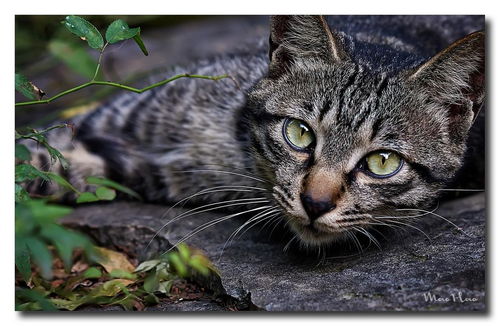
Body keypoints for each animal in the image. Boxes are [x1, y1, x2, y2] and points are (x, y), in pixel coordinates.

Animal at [22, 15, 484, 247]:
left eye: (382, 162)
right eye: (299, 133)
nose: (315, 203)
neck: (236, 151)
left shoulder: (136, 172)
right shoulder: (115, 116)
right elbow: (34, 156)